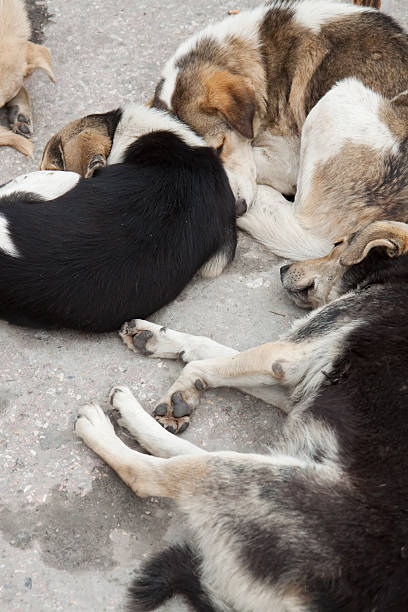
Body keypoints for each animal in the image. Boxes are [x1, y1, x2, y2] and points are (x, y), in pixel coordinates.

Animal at [75, 218, 406, 608]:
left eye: (338, 245)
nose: (282, 269)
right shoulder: (294, 382)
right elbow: (210, 350)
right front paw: (158, 341)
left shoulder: (284, 357)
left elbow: (205, 362)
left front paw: (182, 384)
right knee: (189, 454)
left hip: (253, 481)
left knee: (152, 473)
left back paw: (105, 425)